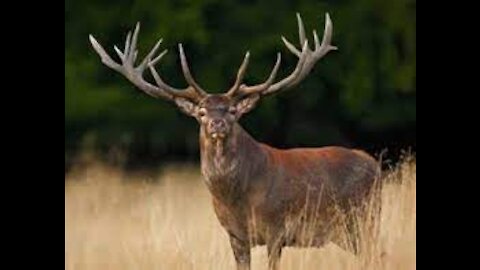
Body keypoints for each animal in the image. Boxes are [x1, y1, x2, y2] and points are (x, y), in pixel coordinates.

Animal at [90, 12, 380, 270]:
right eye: (202, 112)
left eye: (232, 110)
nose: (217, 123)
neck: (236, 199)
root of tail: (375, 164)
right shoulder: (234, 235)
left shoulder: (277, 228)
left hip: (363, 219)